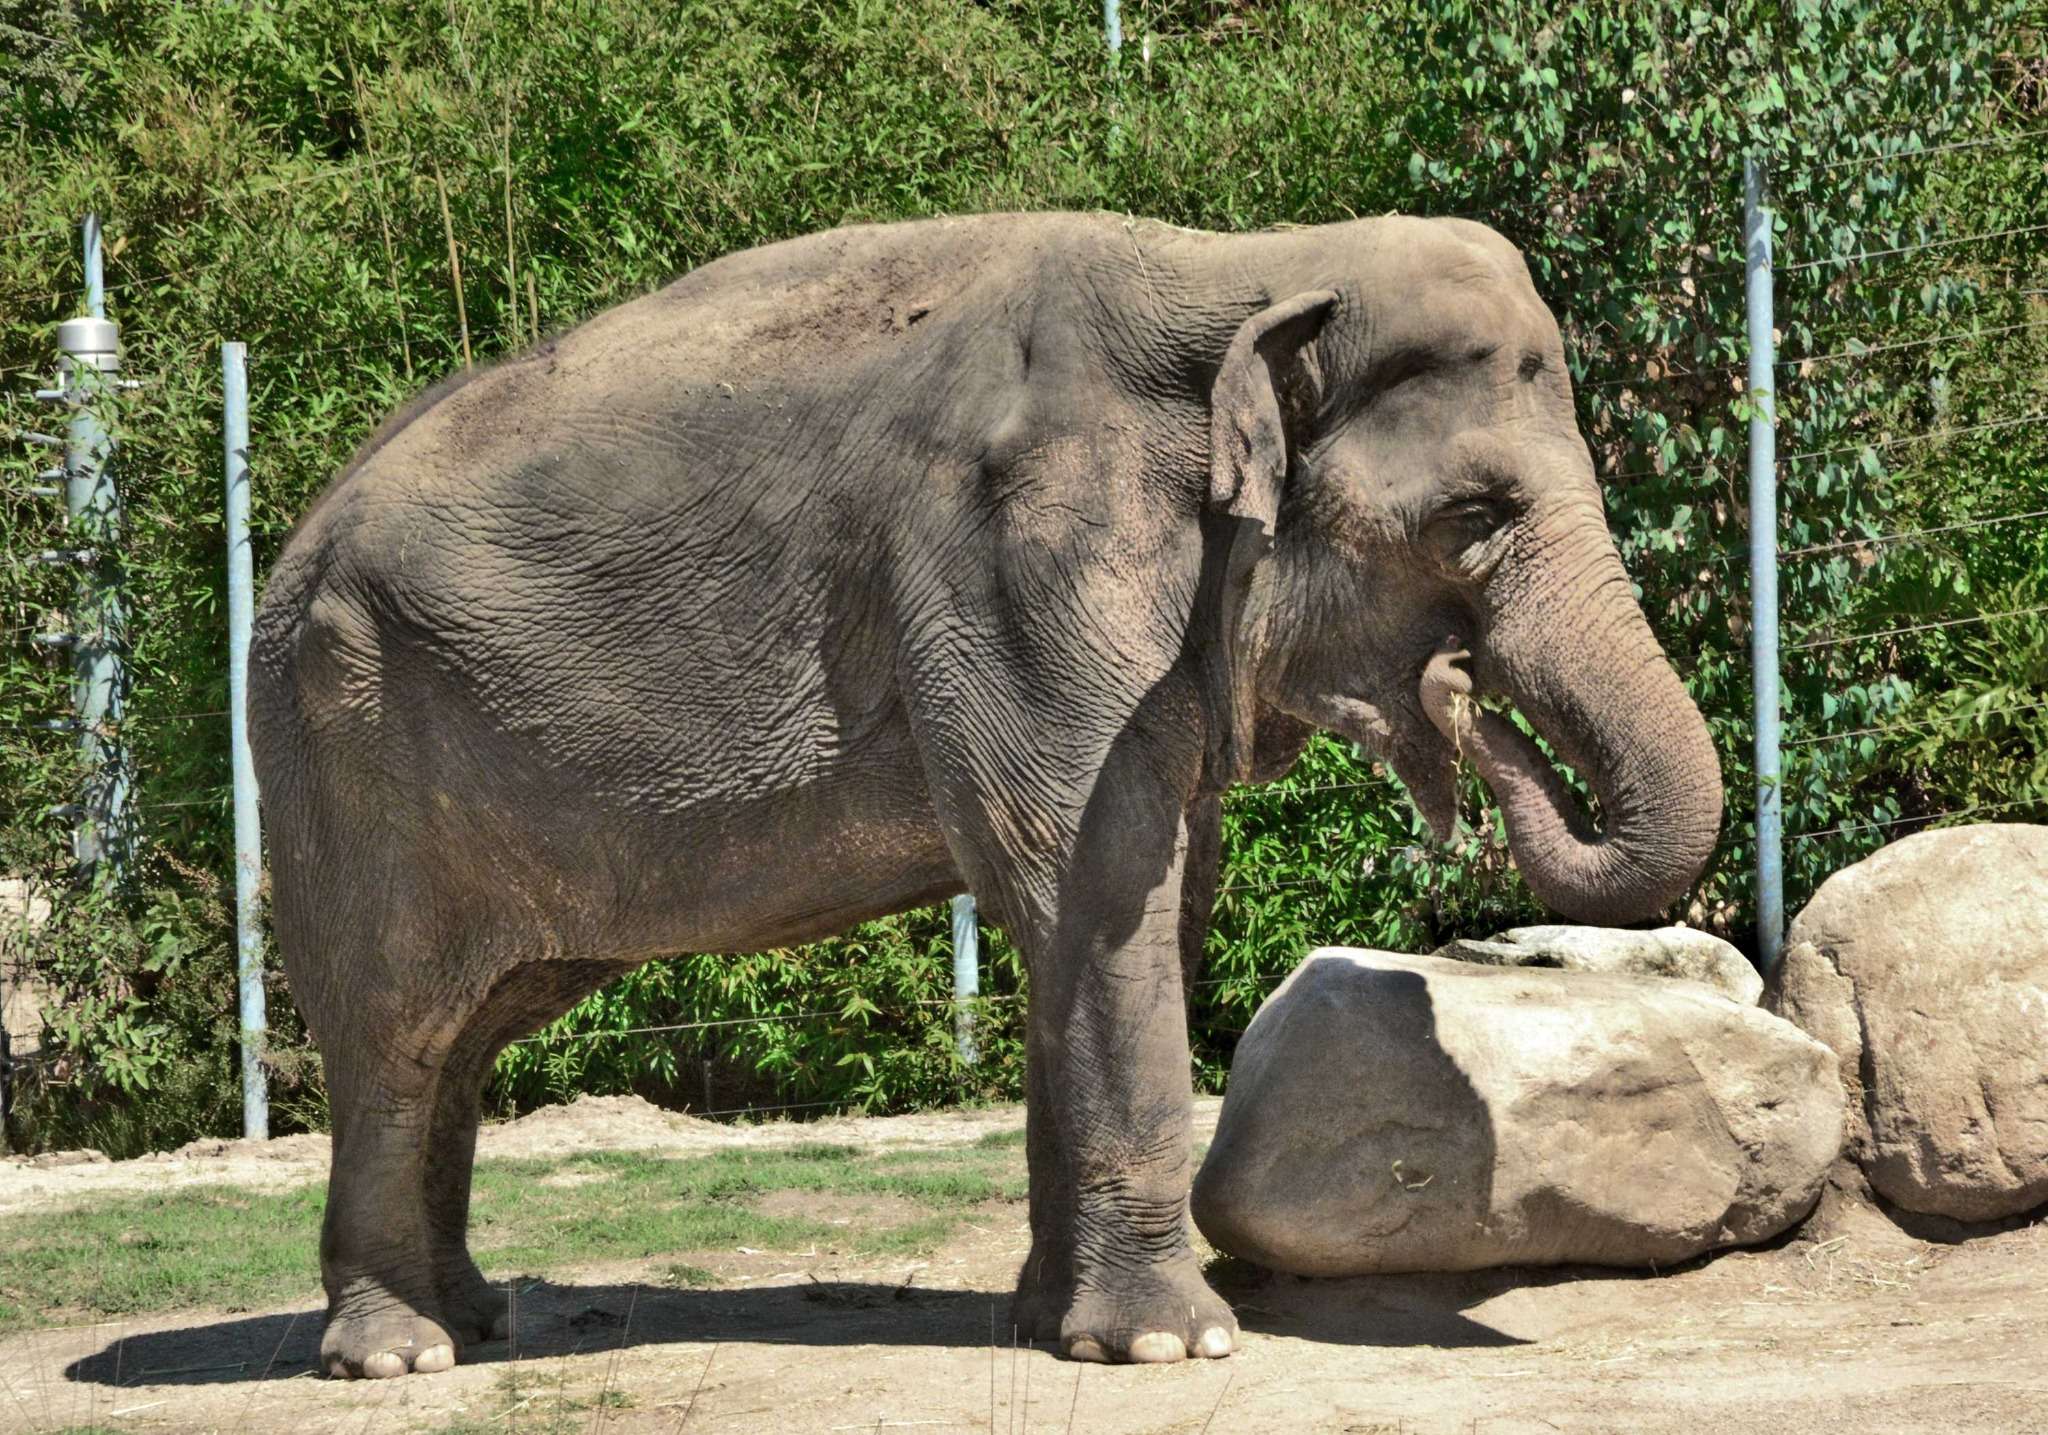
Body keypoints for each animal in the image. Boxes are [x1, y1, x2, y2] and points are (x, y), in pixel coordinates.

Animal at [249, 210, 1722, 1379]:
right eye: (1473, 517)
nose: (1462, 690)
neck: (1246, 264)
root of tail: (296, 535)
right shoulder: (1016, 568)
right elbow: (1092, 883)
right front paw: (1173, 1345)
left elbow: (1136, 905)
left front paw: (1046, 1324)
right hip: (345, 746)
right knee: (394, 1029)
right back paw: (397, 1354)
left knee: (468, 1033)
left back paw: (476, 1316)